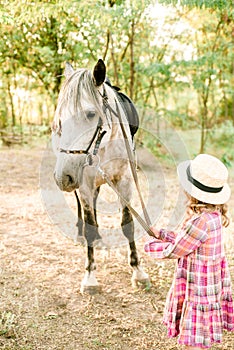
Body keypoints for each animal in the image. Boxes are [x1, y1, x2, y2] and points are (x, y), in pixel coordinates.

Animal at [51, 59, 149, 292]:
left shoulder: (124, 181)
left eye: (90, 114)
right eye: (60, 119)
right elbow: (89, 224)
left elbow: (127, 224)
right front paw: (90, 277)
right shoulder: (83, 183)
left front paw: (138, 271)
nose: (62, 177)